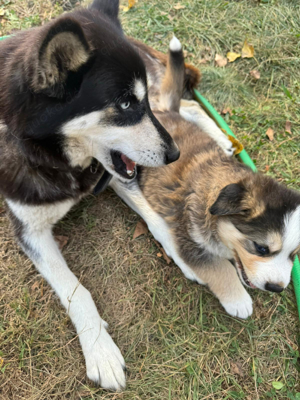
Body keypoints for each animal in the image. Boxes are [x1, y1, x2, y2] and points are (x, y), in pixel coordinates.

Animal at [0, 0, 184, 390]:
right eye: (126, 105)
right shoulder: (30, 230)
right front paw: (100, 349)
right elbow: (75, 290)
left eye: (141, 102)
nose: (175, 154)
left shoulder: (109, 172)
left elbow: (158, 220)